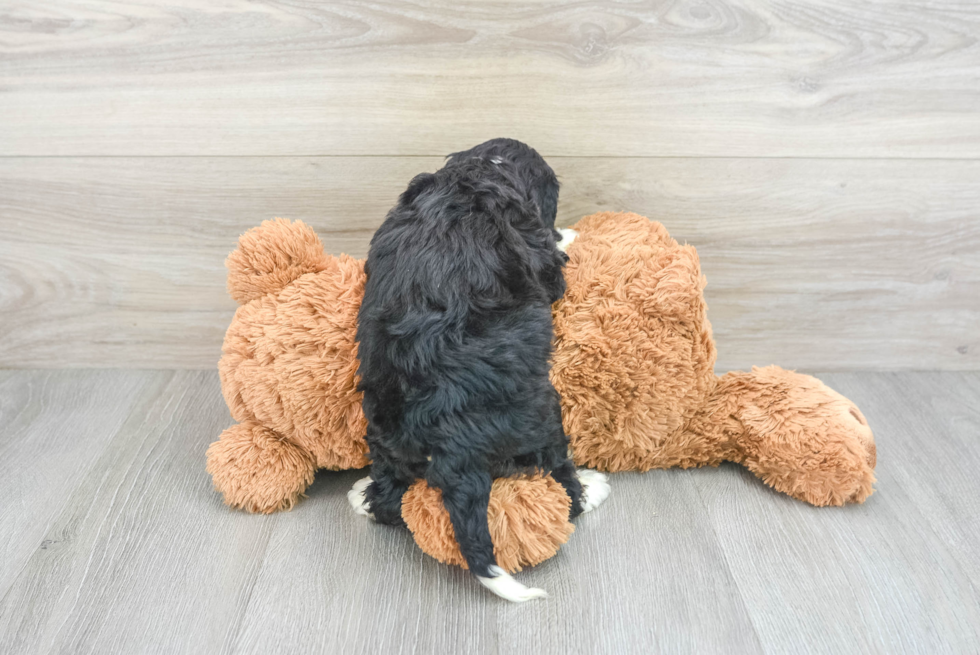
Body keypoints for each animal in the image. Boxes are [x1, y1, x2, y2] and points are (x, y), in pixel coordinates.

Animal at [352, 141, 608, 604]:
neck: (479, 170)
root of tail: (451, 444)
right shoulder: (539, 251)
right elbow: (554, 261)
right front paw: (568, 234)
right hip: (544, 414)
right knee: (561, 477)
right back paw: (591, 489)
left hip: (386, 434)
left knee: (389, 496)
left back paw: (361, 498)